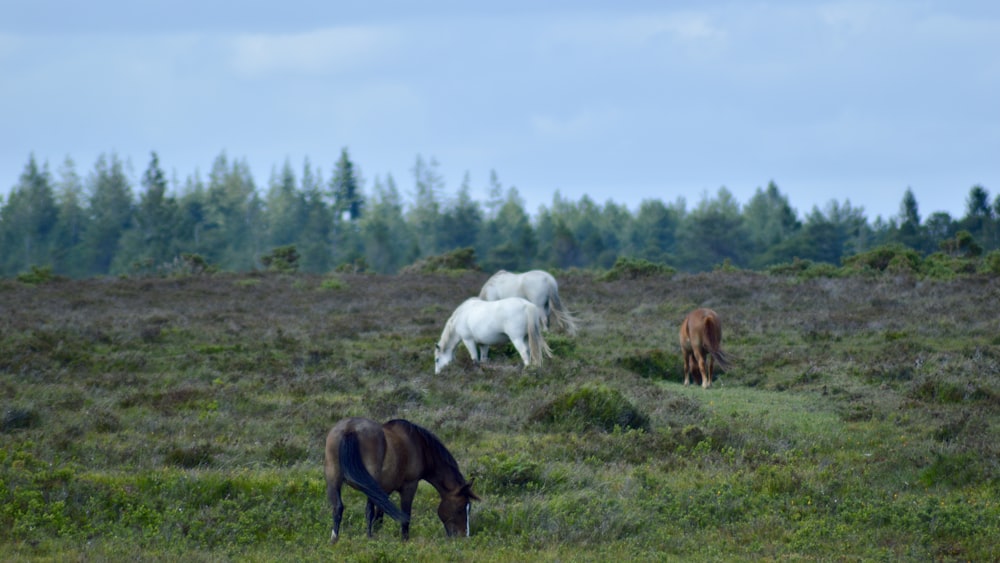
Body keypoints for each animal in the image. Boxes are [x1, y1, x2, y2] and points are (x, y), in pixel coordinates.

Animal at [320, 416, 476, 544]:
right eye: (461, 508)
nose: (464, 537)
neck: (419, 446)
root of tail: (349, 429)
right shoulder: (409, 486)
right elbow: (405, 515)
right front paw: (404, 540)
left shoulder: (384, 491)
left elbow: (379, 517)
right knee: (368, 510)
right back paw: (368, 538)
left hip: (333, 478)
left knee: (338, 507)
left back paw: (335, 539)